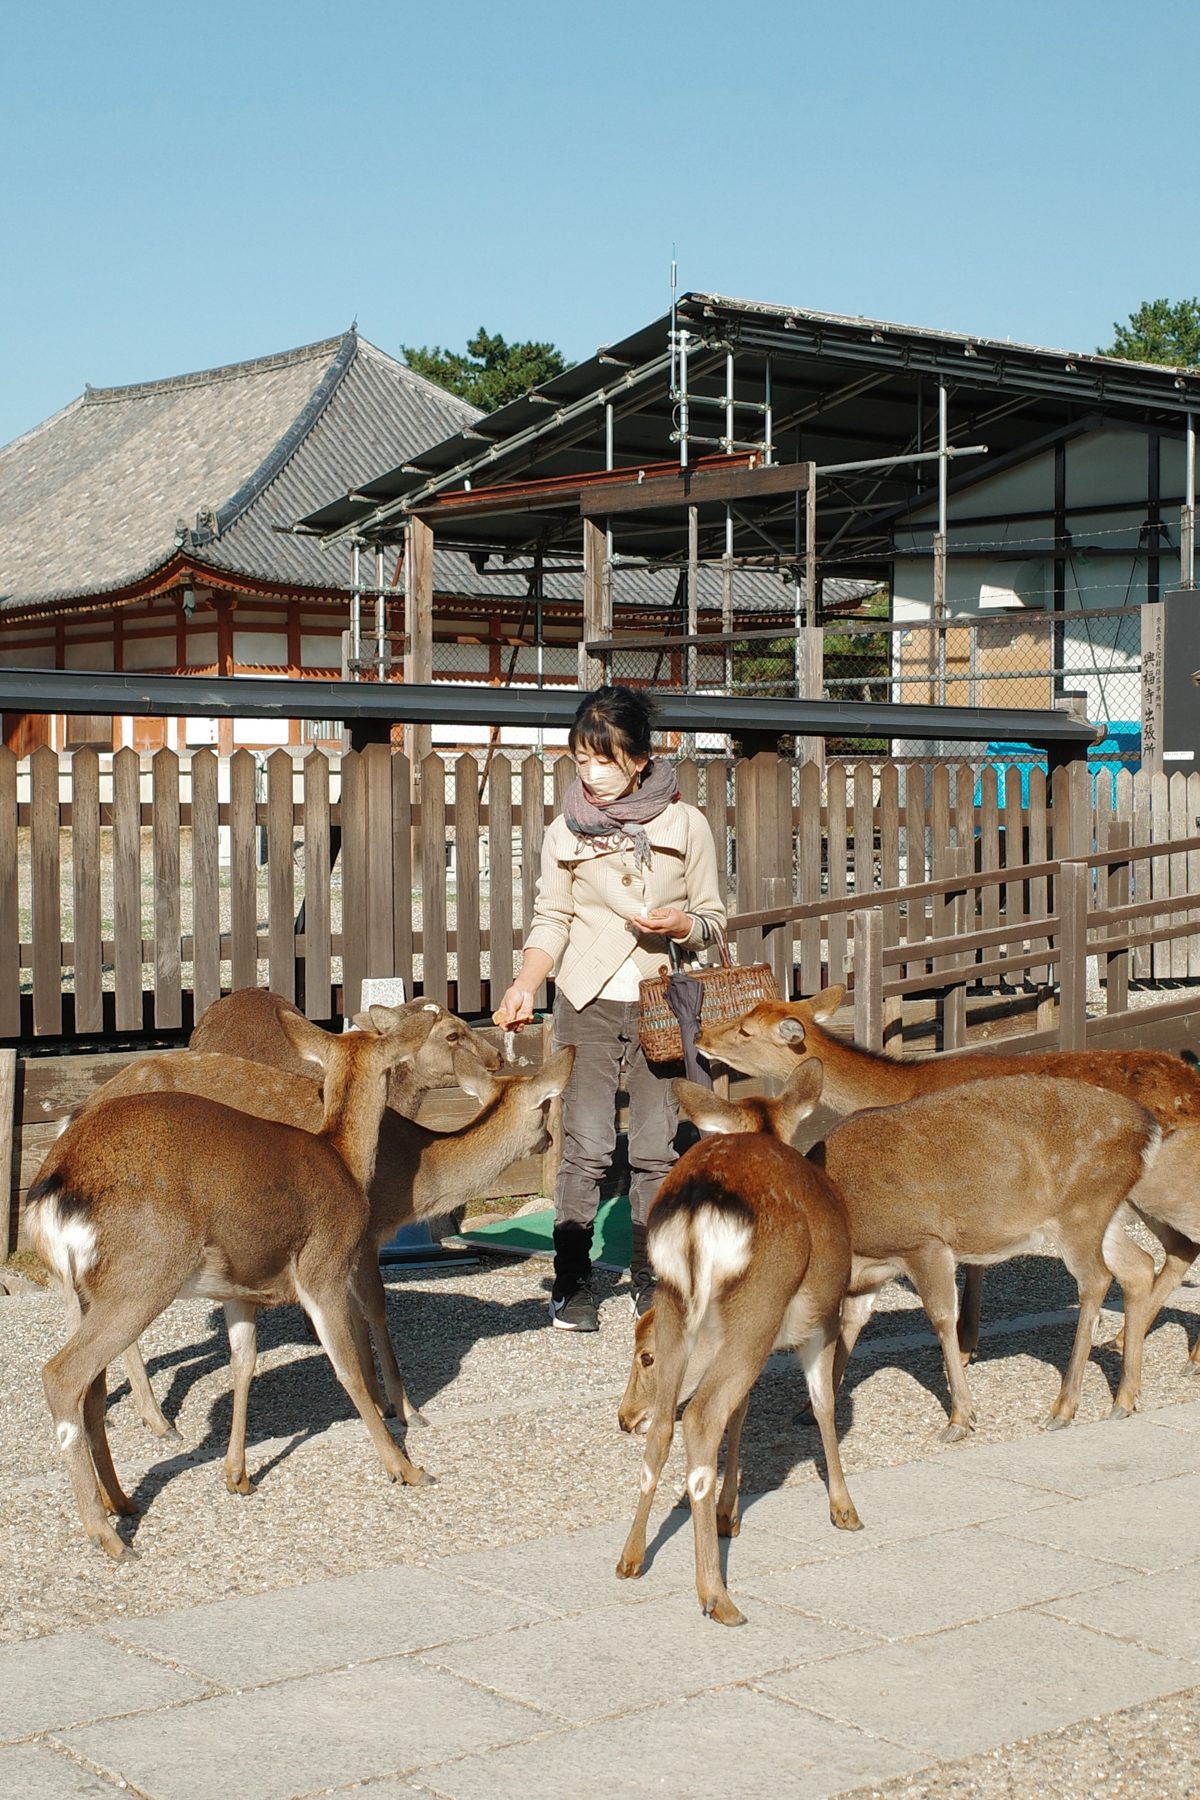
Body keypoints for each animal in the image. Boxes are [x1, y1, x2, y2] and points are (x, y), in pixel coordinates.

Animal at [26, 1013, 450, 1559]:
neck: (342, 1159)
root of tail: (52, 1189)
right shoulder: (324, 1267)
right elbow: (347, 1370)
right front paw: (407, 1468)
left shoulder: (238, 1292)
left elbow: (243, 1364)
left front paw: (238, 1476)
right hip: (143, 1275)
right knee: (62, 1374)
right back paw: (109, 1537)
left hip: (90, 1290)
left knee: (92, 1393)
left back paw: (122, 1502)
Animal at [71, 1028, 576, 1494]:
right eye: (545, 1109)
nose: (553, 1138)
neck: (415, 1182)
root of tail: (79, 1116)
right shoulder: (362, 1237)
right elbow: (373, 1310)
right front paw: (405, 1410)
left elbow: (354, 1317)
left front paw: (385, 1403)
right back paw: (158, 1422)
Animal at [615, 1061, 861, 1627]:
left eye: (644, 1358)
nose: (621, 1418)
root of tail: (698, 1205)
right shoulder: (821, 1320)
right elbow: (823, 1403)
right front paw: (844, 1509)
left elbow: (744, 1410)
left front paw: (730, 1513)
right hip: (761, 1302)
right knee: (702, 1415)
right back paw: (717, 1596)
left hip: (679, 1305)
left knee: (666, 1424)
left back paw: (631, 1558)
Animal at [697, 986, 1200, 1364]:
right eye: (745, 1013)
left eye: (744, 1029)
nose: (701, 1035)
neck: (906, 1086)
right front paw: (966, 1342)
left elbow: (971, 1266)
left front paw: (964, 1345)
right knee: (1178, 1249)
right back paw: (1130, 1343)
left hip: (1160, 1189)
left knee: (1180, 1245)